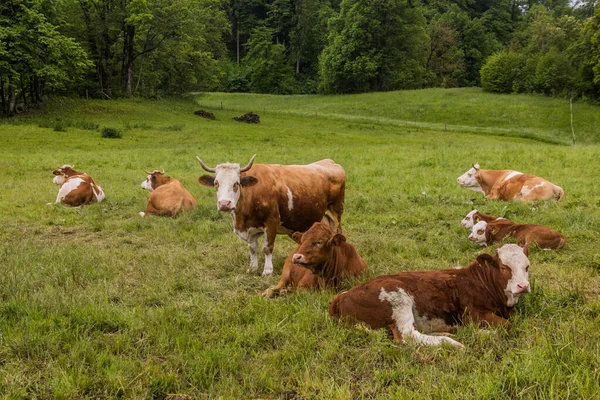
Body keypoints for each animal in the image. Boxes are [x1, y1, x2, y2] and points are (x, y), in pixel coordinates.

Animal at [198, 155, 346, 276]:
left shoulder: (271, 222)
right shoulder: (250, 228)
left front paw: (267, 271)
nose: (224, 204)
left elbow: (267, 248)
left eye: (237, 183)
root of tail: (329, 162)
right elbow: (253, 249)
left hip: (335, 212)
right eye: (216, 183)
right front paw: (252, 268)